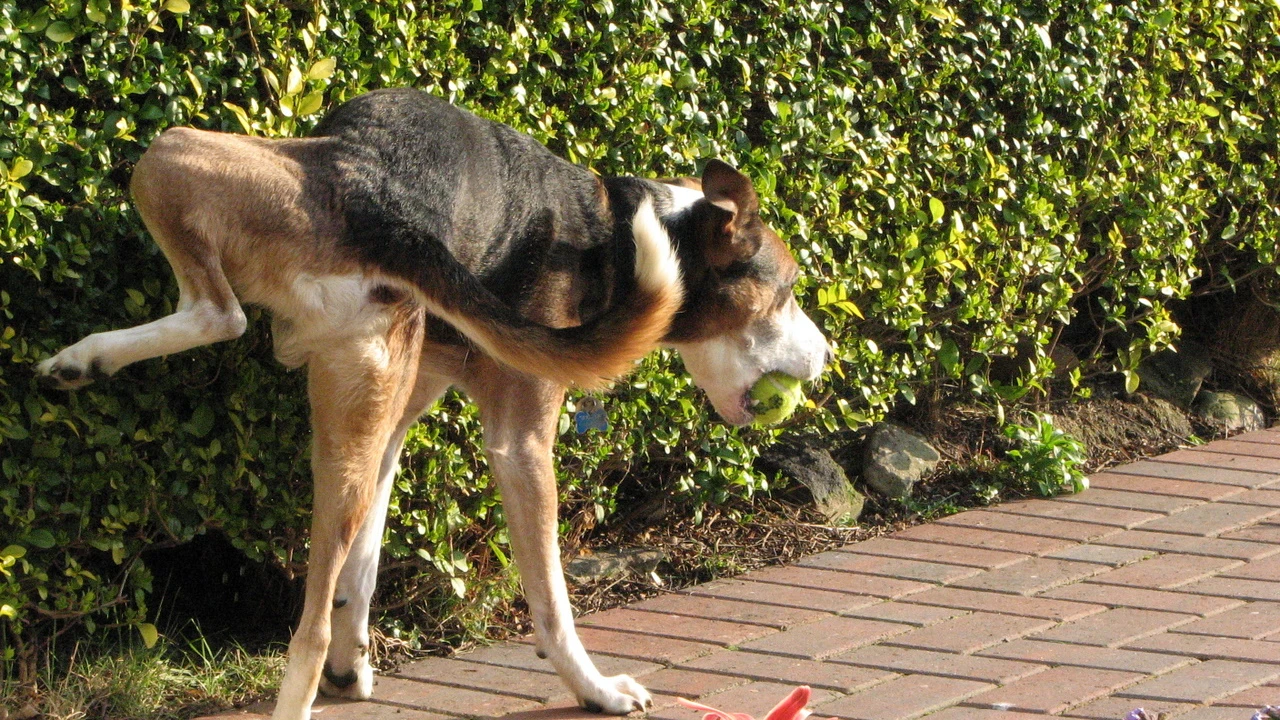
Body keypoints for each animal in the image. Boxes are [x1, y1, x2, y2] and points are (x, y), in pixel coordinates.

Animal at [37, 89, 829, 717]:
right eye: (787, 291)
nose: (826, 361)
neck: (619, 241)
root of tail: (390, 211)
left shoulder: (403, 425)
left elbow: (367, 564)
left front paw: (354, 665)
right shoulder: (516, 444)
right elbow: (549, 600)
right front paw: (595, 689)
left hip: (188, 174)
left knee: (221, 317)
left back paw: (82, 359)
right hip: (176, 155)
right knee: (219, 316)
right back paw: (82, 358)